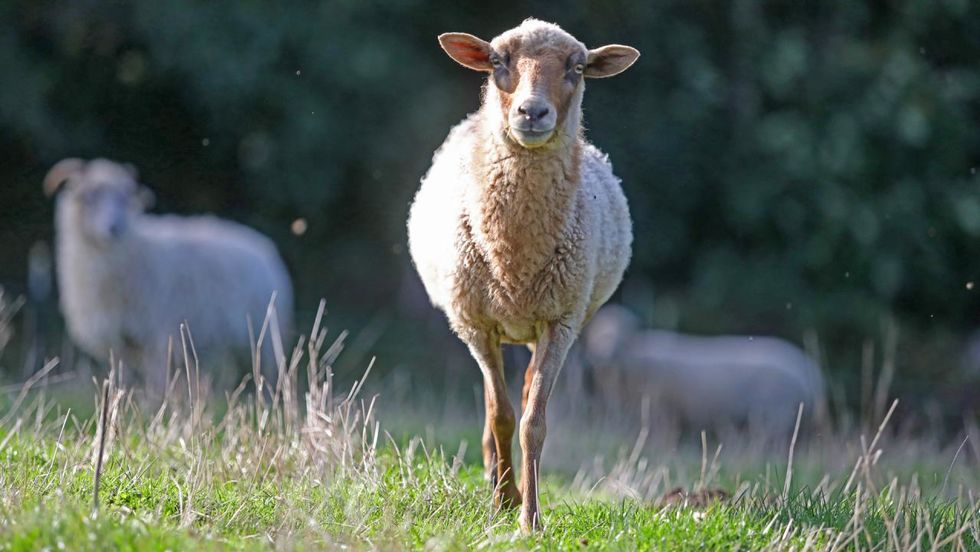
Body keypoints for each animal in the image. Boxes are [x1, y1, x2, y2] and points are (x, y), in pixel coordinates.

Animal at [44, 157, 292, 394]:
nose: (115, 227)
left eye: (125, 199)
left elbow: (158, 382)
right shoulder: (118, 342)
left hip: (265, 335)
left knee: (268, 372)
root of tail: (264, 248)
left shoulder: (157, 336)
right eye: (89, 197)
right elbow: (122, 378)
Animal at [404, 19, 640, 532]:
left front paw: (530, 518)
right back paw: (497, 481)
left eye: (577, 67)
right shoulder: (476, 325)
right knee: (496, 404)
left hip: (544, 324)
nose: (532, 112)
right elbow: (502, 417)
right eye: (498, 61)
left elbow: (533, 422)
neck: (515, 256)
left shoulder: (561, 321)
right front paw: (502, 504)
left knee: (530, 388)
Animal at [580, 304, 828, 434]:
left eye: (622, 335)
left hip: (776, 414)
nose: (602, 355)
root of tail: (812, 374)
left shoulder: (662, 407)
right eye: (596, 334)